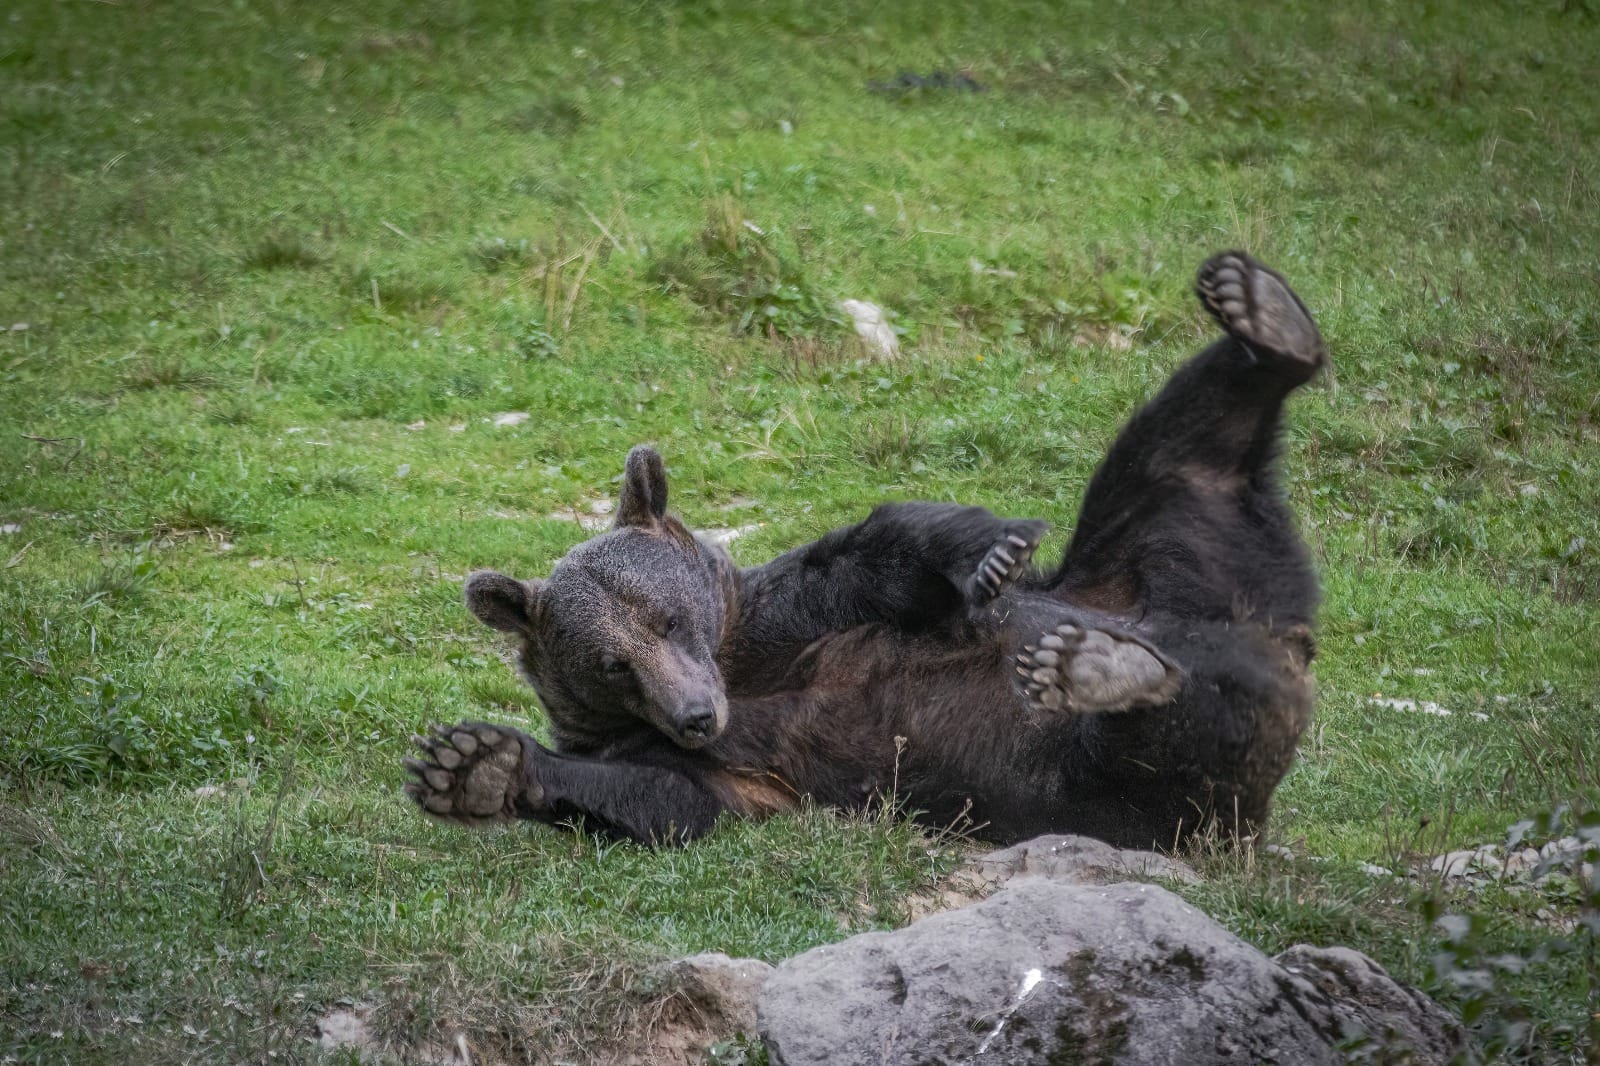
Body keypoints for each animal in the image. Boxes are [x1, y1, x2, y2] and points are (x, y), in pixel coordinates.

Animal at [403, 251, 1324, 849]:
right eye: (611, 664)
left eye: (669, 620)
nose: (696, 715)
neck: (738, 671)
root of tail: (1278, 637)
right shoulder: (708, 758)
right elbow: (664, 795)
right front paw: (473, 767)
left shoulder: (787, 615)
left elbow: (885, 554)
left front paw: (990, 554)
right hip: (1092, 776)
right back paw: (1106, 669)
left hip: (1149, 569)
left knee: (1169, 456)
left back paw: (1264, 313)